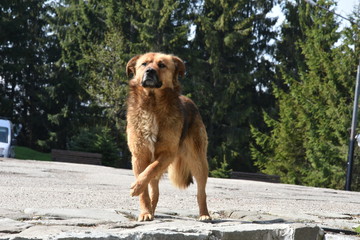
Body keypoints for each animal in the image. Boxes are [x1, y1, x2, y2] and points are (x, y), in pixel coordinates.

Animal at [126, 52, 211, 221]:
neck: (152, 104)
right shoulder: (139, 156)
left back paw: (204, 214)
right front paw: (144, 211)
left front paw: (136, 187)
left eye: (161, 65)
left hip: (198, 161)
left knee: (201, 192)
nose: (150, 71)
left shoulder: (167, 154)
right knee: (155, 191)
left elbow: (151, 169)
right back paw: (151, 210)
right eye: (144, 64)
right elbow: (145, 186)